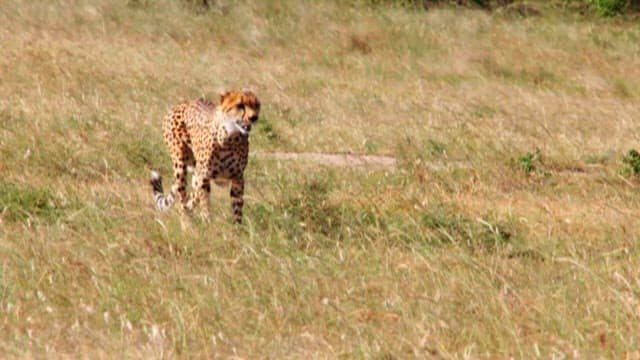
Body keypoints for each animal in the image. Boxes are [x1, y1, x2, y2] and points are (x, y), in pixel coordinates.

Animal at [150, 90, 260, 222]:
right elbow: (205, 202)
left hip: (196, 173)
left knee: (191, 197)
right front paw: (207, 221)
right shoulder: (204, 176)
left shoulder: (237, 178)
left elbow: (237, 208)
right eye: (240, 105)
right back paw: (186, 221)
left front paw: (238, 226)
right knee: (183, 198)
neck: (230, 138)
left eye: (257, 105)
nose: (254, 117)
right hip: (181, 165)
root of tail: (182, 103)